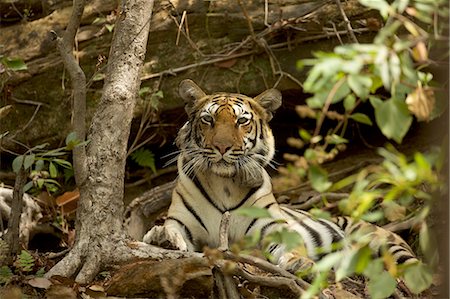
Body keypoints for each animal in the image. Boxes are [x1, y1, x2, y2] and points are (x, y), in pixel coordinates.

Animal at [143, 79, 418, 274]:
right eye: (208, 119)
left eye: (241, 121)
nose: (221, 147)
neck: (224, 183)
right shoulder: (183, 222)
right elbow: (171, 229)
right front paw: (162, 237)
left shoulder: (271, 227)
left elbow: (291, 245)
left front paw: (299, 262)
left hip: (383, 240)